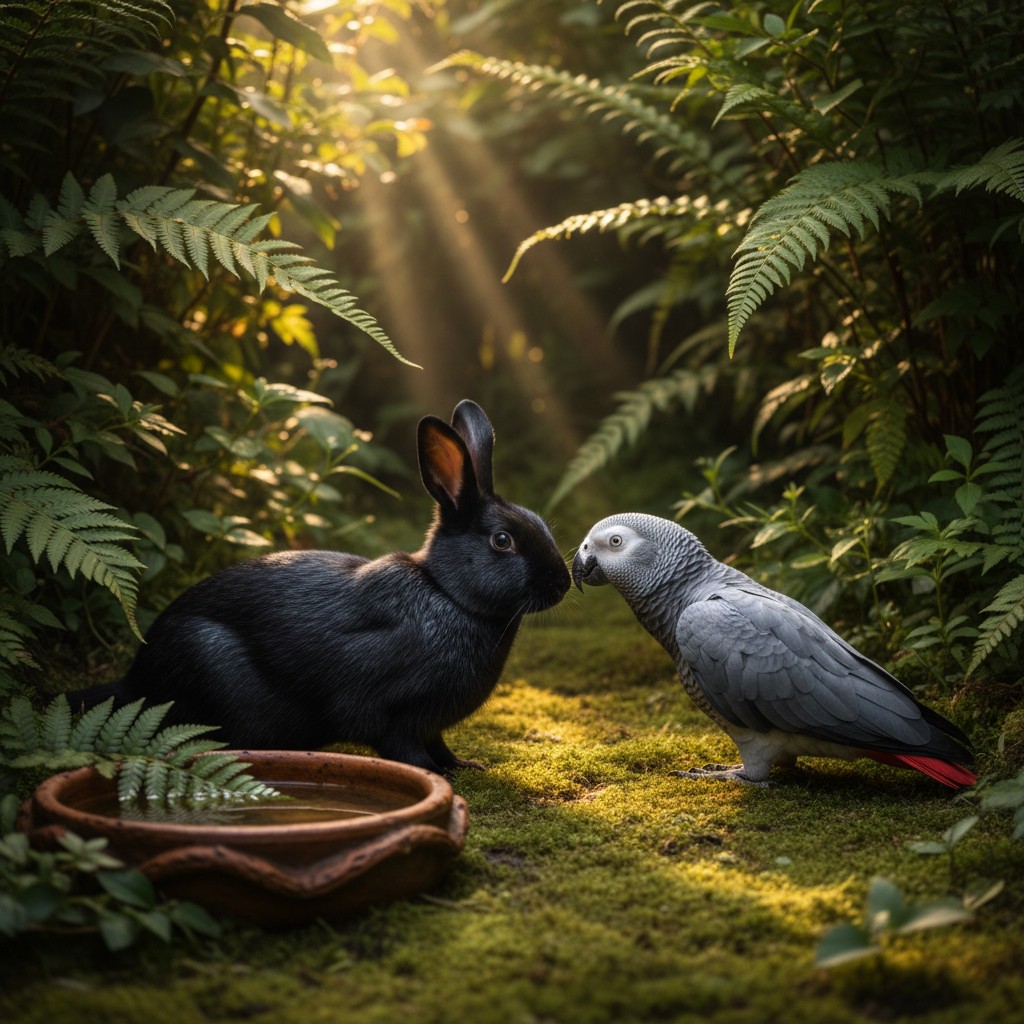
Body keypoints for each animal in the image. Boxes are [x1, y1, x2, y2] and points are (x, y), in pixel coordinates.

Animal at [73, 400, 570, 775]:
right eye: (502, 541)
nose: (563, 584)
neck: (448, 594)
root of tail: (137, 680)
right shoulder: (390, 712)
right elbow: (403, 747)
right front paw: (435, 775)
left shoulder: (431, 724)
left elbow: (440, 744)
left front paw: (462, 766)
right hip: (206, 660)